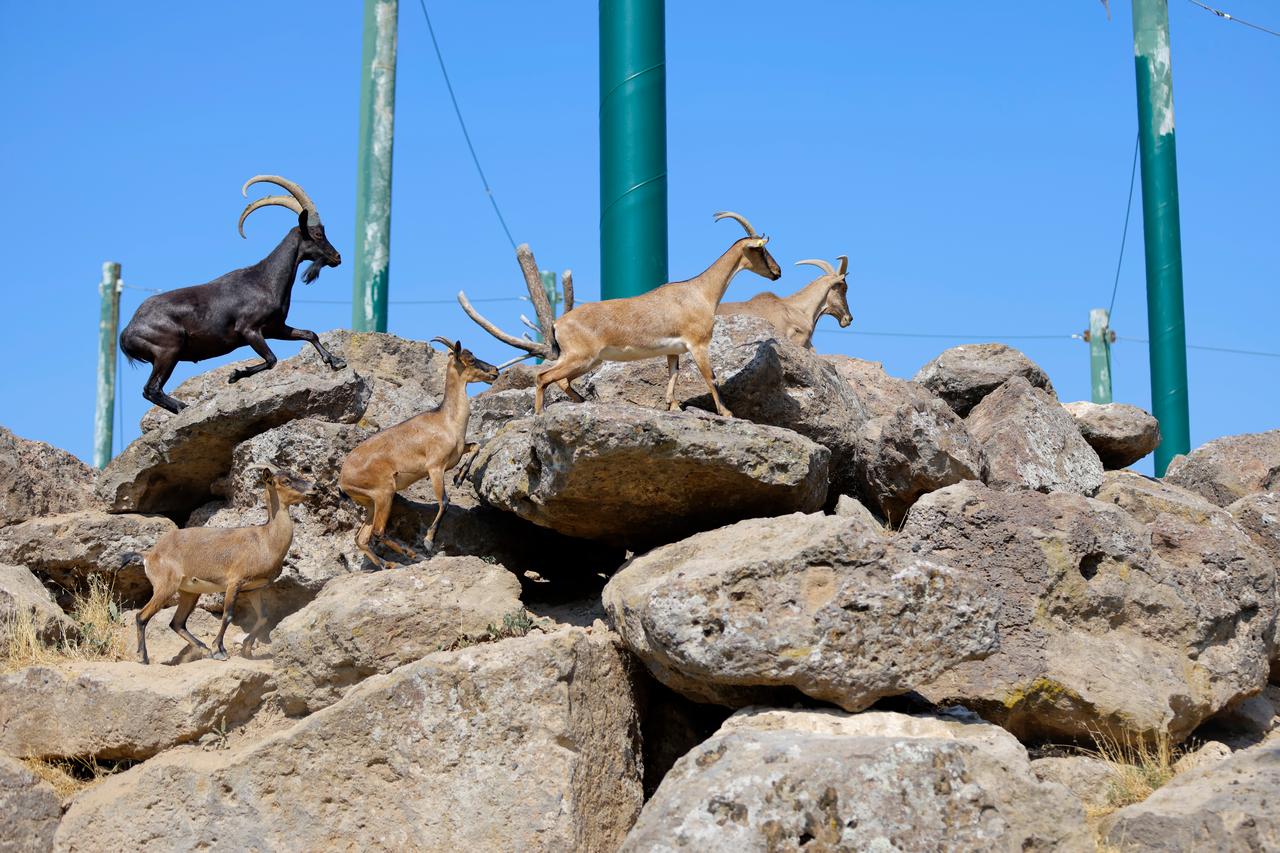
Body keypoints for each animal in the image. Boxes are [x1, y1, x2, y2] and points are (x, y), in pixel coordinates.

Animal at [119, 176, 346, 414]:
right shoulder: (249, 329)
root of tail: (127, 332)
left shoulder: (275, 328)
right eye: (318, 234)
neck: (265, 280)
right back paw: (183, 407)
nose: (337, 257)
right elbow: (272, 359)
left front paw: (335, 360)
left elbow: (310, 334)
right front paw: (235, 375)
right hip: (168, 350)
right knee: (151, 389)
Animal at [121, 467, 315, 664]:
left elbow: (263, 617)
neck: (265, 540)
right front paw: (219, 650)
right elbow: (227, 615)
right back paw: (144, 657)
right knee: (142, 616)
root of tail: (149, 555)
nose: (314, 488)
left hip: (189, 592)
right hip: (166, 586)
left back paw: (204, 649)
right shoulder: (234, 582)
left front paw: (246, 649)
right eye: (286, 481)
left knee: (177, 622)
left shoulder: (254, 589)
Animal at [338, 338, 500, 570]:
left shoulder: (455, 455)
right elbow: (444, 501)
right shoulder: (435, 468)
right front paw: (429, 541)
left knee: (361, 538)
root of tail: (343, 480)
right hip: (384, 493)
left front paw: (459, 478)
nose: (495, 370)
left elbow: (476, 446)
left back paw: (389, 564)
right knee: (378, 532)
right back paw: (414, 556)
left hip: (371, 503)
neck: (446, 420)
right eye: (470, 359)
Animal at [457, 212, 780, 419]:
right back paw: (540, 413)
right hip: (580, 357)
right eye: (762, 251)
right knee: (543, 376)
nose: (778, 272)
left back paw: (582, 402)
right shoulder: (698, 344)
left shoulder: (674, 350)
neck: (700, 291)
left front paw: (673, 406)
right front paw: (727, 412)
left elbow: (674, 375)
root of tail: (557, 324)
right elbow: (710, 377)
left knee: (560, 380)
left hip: (585, 360)